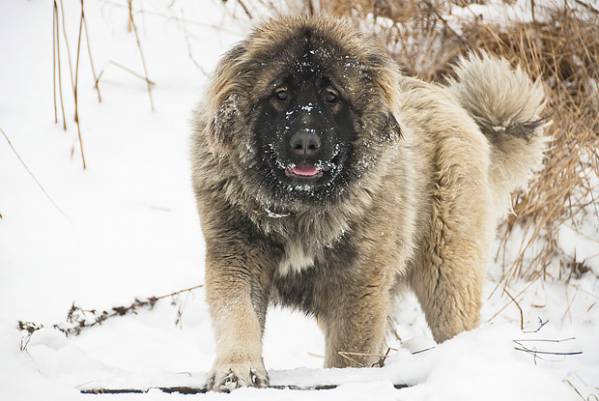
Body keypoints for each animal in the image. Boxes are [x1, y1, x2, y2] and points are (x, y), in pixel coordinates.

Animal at [192, 16, 548, 390]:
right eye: (280, 94)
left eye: (332, 96)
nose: (305, 143)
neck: (301, 209)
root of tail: (456, 107)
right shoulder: (237, 256)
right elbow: (238, 316)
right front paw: (237, 371)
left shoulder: (358, 287)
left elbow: (349, 352)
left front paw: (344, 382)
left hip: (447, 276)